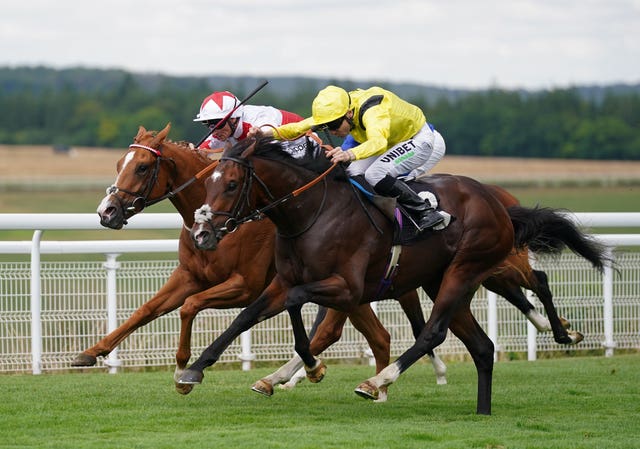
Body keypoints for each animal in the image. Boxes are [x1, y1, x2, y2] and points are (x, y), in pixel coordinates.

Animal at [181, 136, 608, 412]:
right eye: (208, 182)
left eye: (231, 184)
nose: (202, 234)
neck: (312, 213)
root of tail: (499, 205)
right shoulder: (283, 281)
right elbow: (246, 315)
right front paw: (193, 371)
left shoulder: (346, 288)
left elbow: (298, 305)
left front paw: (314, 368)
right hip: (443, 280)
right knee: (482, 346)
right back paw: (482, 409)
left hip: (466, 269)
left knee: (435, 331)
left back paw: (377, 382)